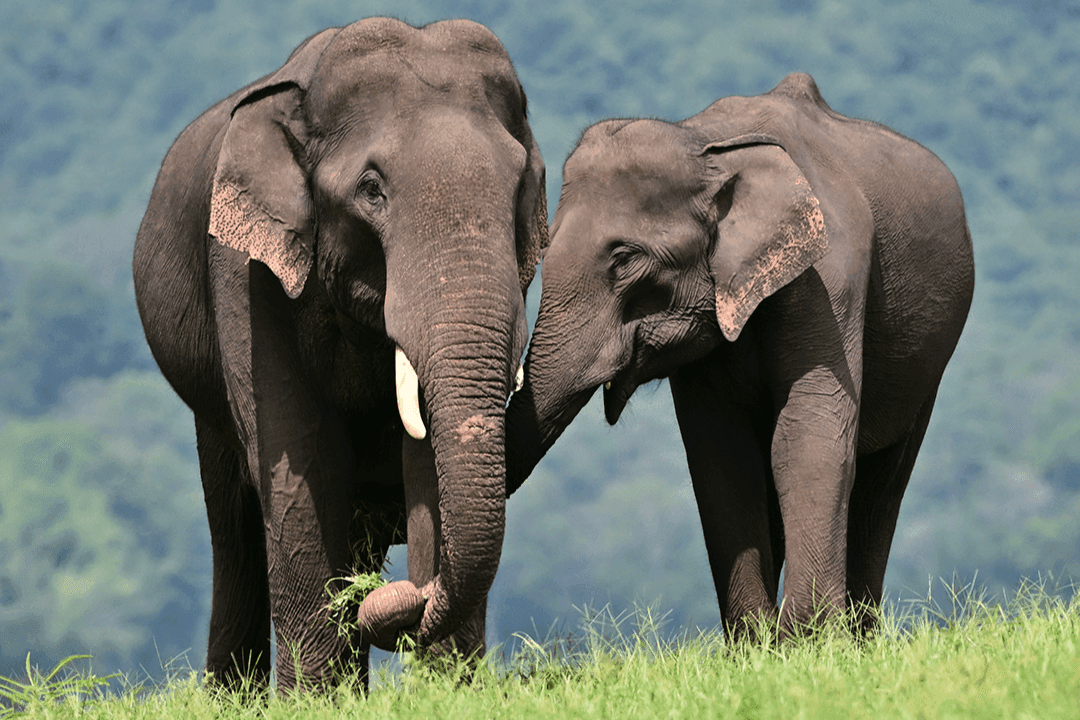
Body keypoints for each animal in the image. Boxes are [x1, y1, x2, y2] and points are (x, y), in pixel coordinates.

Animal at [133, 18, 547, 690]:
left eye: (518, 188)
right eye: (371, 190)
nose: (405, 598)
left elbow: (423, 459)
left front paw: (448, 690)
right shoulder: (245, 272)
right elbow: (301, 456)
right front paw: (313, 699)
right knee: (232, 527)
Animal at [506, 73, 974, 639]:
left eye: (624, 259)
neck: (708, 145)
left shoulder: (830, 272)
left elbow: (805, 434)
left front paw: (808, 642)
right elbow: (722, 455)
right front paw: (756, 646)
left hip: (929, 365)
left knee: (883, 486)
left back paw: (860, 638)